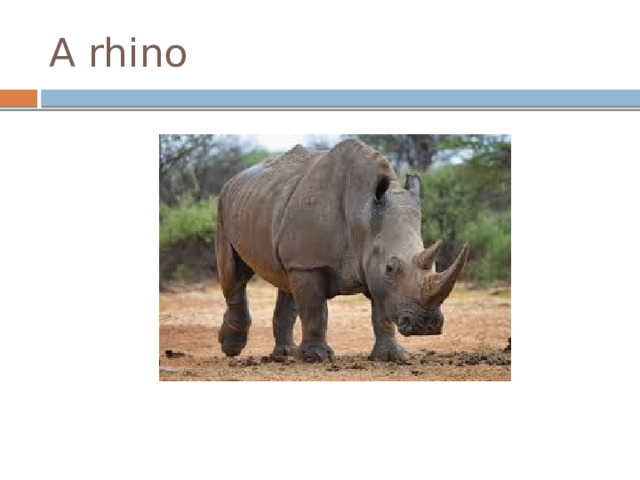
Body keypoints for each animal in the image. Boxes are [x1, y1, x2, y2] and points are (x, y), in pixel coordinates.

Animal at [215, 139, 468, 361]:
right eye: (390, 268)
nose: (426, 326)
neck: (362, 215)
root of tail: (234, 179)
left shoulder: (369, 264)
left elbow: (382, 313)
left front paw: (391, 356)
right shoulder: (311, 263)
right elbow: (315, 312)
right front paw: (316, 357)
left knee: (285, 279)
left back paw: (285, 354)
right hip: (224, 206)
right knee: (234, 276)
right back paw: (231, 348)